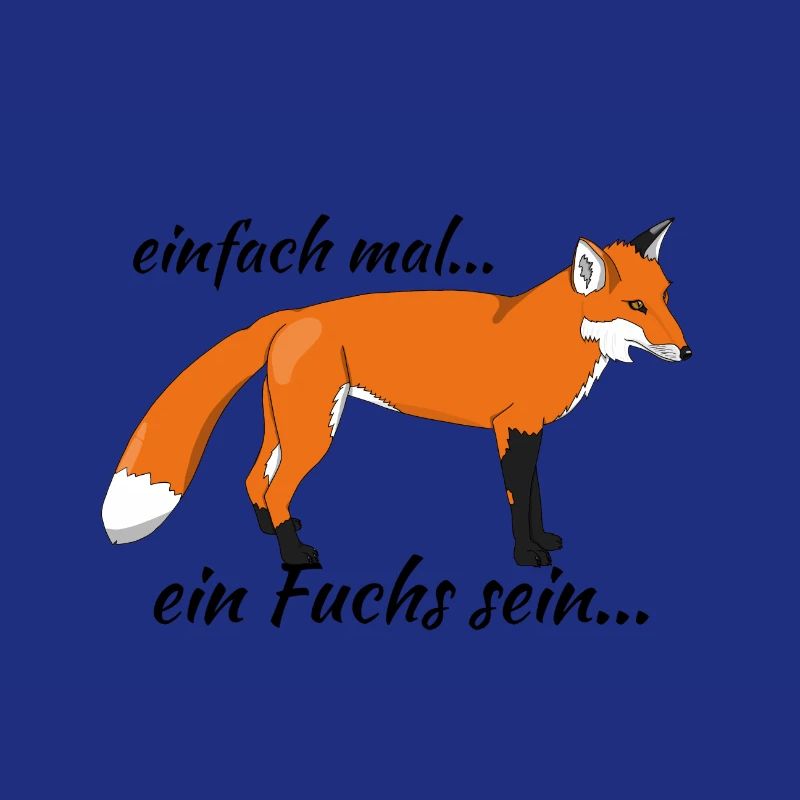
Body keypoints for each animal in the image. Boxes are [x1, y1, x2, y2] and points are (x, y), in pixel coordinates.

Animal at [102, 218, 691, 567]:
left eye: (665, 297)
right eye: (636, 306)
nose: (689, 354)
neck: (554, 336)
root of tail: (293, 313)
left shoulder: (529, 429)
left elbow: (536, 494)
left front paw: (542, 540)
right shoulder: (512, 427)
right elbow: (516, 498)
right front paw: (526, 555)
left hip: (286, 425)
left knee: (254, 482)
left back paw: (274, 533)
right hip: (315, 432)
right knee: (276, 487)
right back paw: (294, 556)